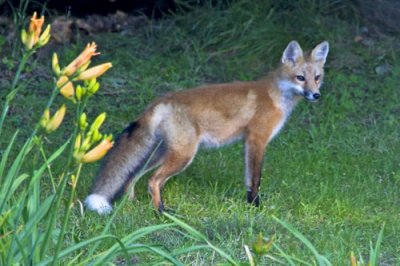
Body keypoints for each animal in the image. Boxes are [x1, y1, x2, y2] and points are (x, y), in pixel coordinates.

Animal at [83, 40, 328, 214]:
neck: (275, 96)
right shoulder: (257, 139)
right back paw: (161, 213)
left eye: (317, 77)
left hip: (163, 153)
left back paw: (132, 204)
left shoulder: (248, 143)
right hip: (183, 155)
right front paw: (257, 207)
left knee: (134, 174)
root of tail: (160, 101)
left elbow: (248, 179)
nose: (316, 95)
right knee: (153, 181)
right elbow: (256, 178)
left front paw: (249, 205)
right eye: (300, 78)